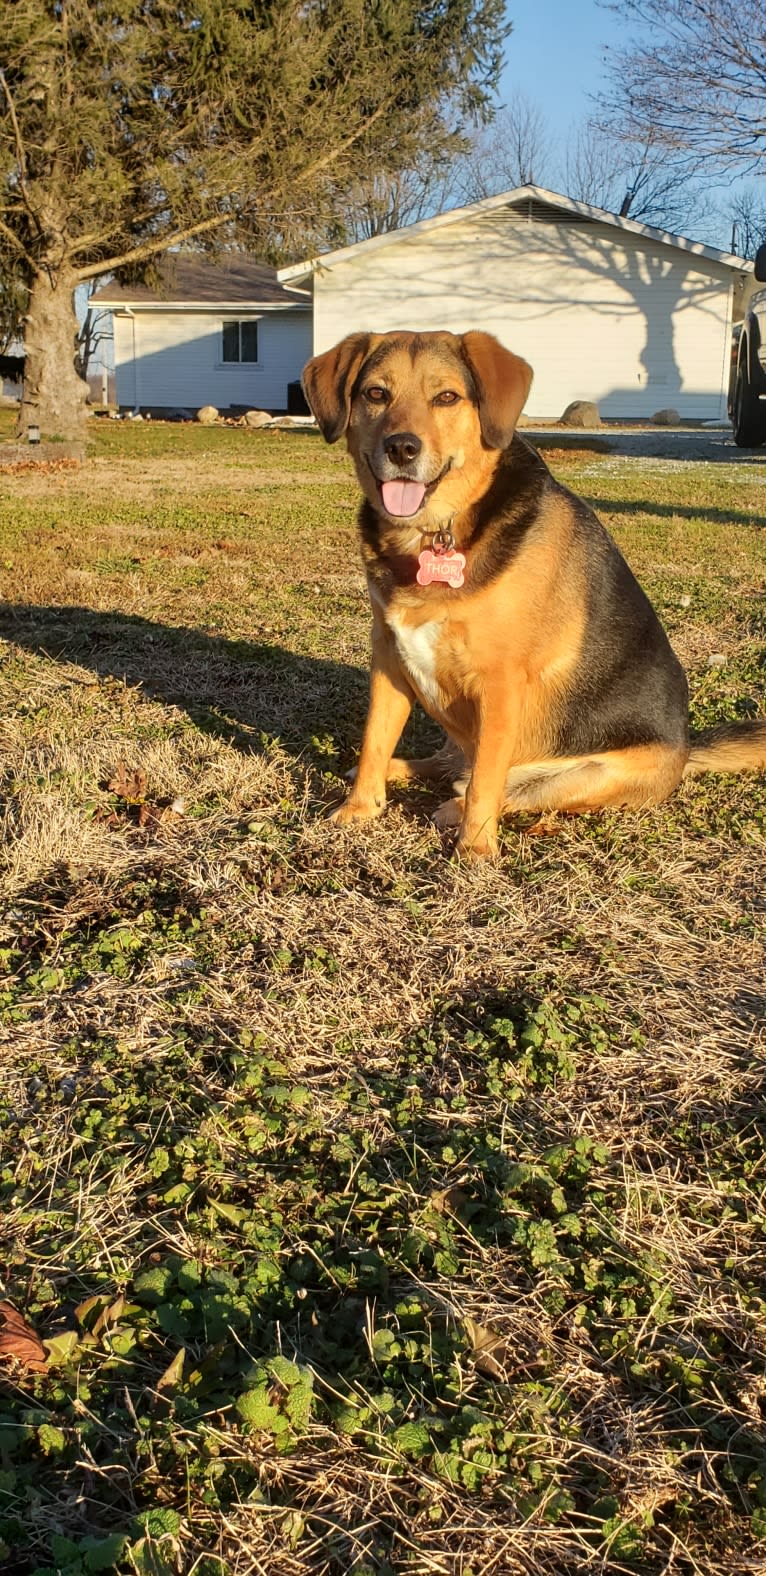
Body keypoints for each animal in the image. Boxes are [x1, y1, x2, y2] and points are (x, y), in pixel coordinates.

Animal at [302, 324, 762, 857]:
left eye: (447, 397)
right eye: (376, 394)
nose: (402, 449)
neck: (436, 532)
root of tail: (686, 750)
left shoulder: (499, 682)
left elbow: (485, 782)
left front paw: (475, 851)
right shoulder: (389, 657)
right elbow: (375, 739)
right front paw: (358, 809)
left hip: (592, 775)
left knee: (495, 787)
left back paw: (455, 810)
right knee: (448, 764)